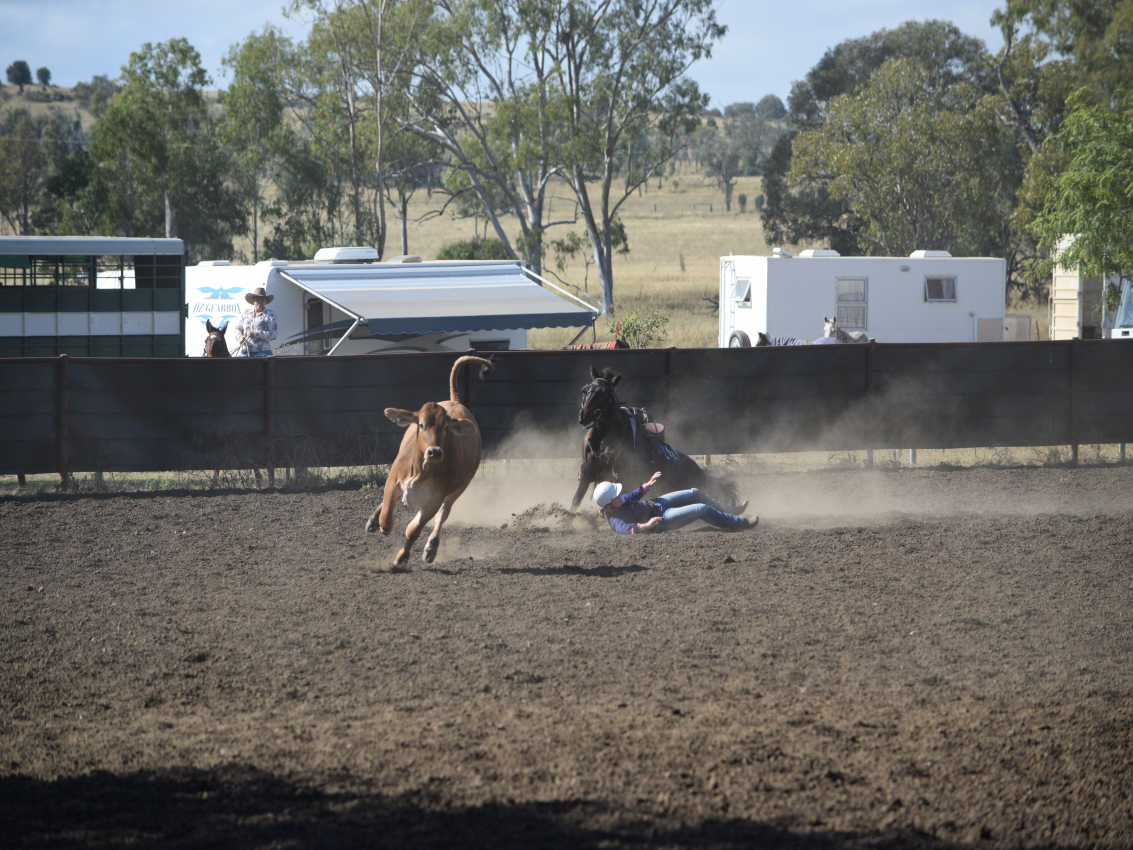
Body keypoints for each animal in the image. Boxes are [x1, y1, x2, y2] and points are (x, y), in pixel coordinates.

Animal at [365, 355, 495, 568]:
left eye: (446, 427)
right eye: (421, 425)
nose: (434, 452)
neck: (420, 471)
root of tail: (455, 401)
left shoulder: (434, 501)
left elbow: (413, 530)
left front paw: (401, 559)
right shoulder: (393, 481)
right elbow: (387, 517)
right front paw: (381, 522)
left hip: (459, 489)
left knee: (444, 514)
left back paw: (431, 548)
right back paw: (374, 520)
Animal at [570, 365, 740, 511]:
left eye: (605, 393)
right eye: (585, 390)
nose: (584, 415)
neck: (604, 437)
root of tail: (702, 474)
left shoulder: (622, 476)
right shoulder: (586, 470)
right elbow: (576, 500)